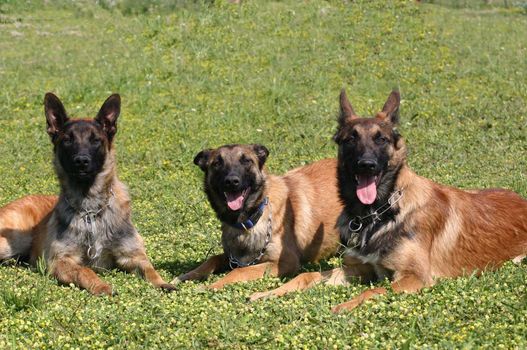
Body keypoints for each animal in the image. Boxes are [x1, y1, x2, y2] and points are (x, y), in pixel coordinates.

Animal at [0, 93, 177, 296]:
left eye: (95, 140)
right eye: (67, 140)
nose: (81, 161)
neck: (90, 210)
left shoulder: (133, 254)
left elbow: (150, 269)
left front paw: (163, 283)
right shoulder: (61, 261)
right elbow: (84, 270)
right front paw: (102, 286)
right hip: (15, 240)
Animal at [172, 144, 342, 288]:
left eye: (246, 161)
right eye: (217, 163)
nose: (231, 181)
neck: (248, 221)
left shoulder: (285, 262)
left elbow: (239, 271)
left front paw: (211, 285)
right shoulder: (233, 257)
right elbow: (212, 259)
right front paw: (186, 276)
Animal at [250, 88, 527, 312]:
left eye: (380, 139)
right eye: (351, 138)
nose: (366, 165)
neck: (379, 214)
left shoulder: (414, 277)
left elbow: (374, 290)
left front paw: (344, 305)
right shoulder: (359, 268)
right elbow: (305, 277)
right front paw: (268, 293)